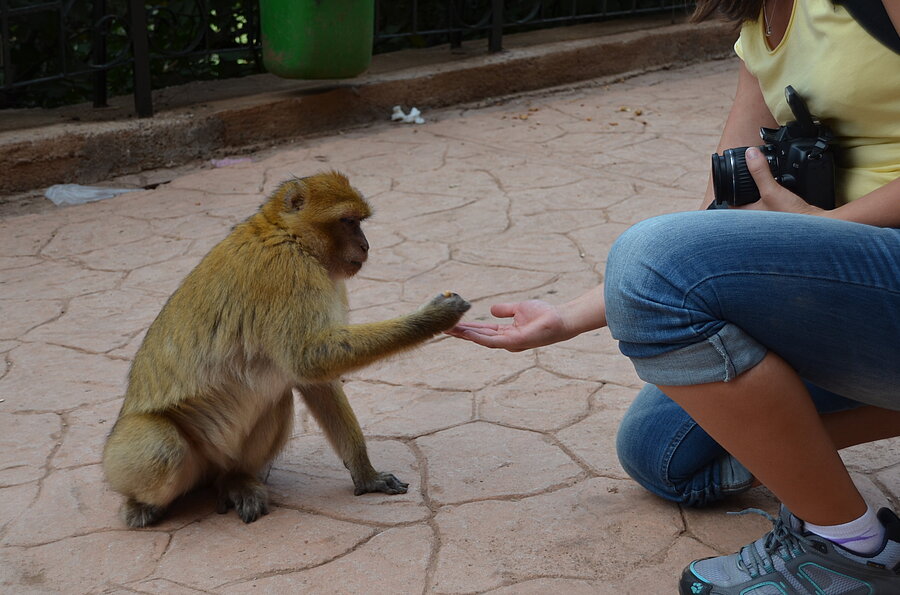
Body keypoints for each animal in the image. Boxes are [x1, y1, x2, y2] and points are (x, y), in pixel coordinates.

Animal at [103, 171, 472, 528]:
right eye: (349, 221)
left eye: (359, 222)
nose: (366, 245)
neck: (290, 234)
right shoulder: (287, 271)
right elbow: (308, 359)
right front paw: (432, 318)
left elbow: (313, 378)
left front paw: (365, 474)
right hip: (133, 457)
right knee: (162, 447)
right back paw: (141, 504)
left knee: (276, 400)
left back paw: (236, 480)